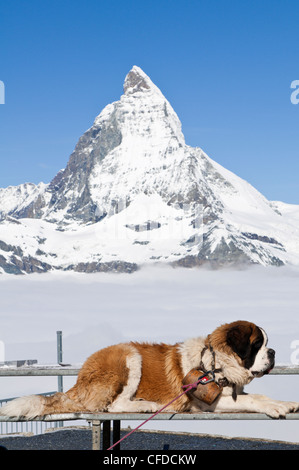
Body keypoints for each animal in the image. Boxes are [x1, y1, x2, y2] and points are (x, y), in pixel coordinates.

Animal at [0, 320, 299, 418]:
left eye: (266, 344)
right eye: (258, 344)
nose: (273, 352)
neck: (216, 363)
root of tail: (79, 380)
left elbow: (258, 396)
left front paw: (285, 403)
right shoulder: (206, 402)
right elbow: (256, 399)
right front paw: (275, 407)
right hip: (128, 356)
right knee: (113, 405)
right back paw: (147, 405)